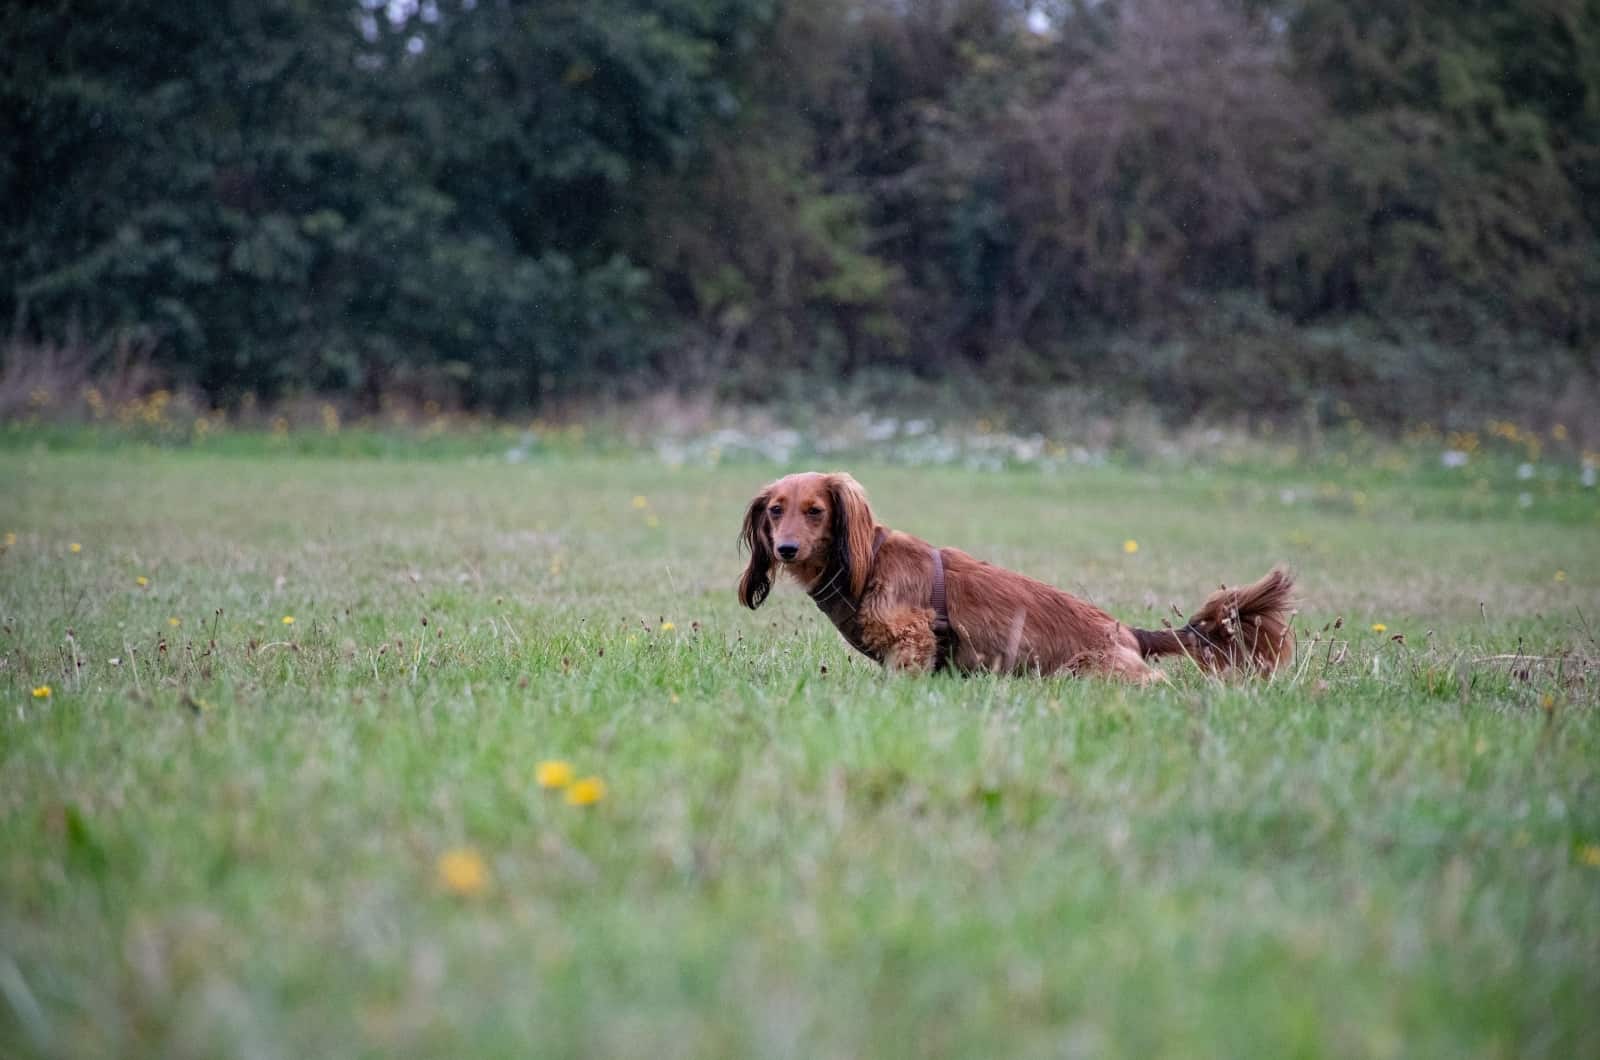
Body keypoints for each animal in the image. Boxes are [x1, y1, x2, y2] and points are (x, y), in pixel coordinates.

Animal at [736, 470, 1286, 682]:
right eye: (776, 510)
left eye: (816, 511)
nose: (786, 549)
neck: (864, 564)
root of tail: (1128, 633)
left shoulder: (913, 639)